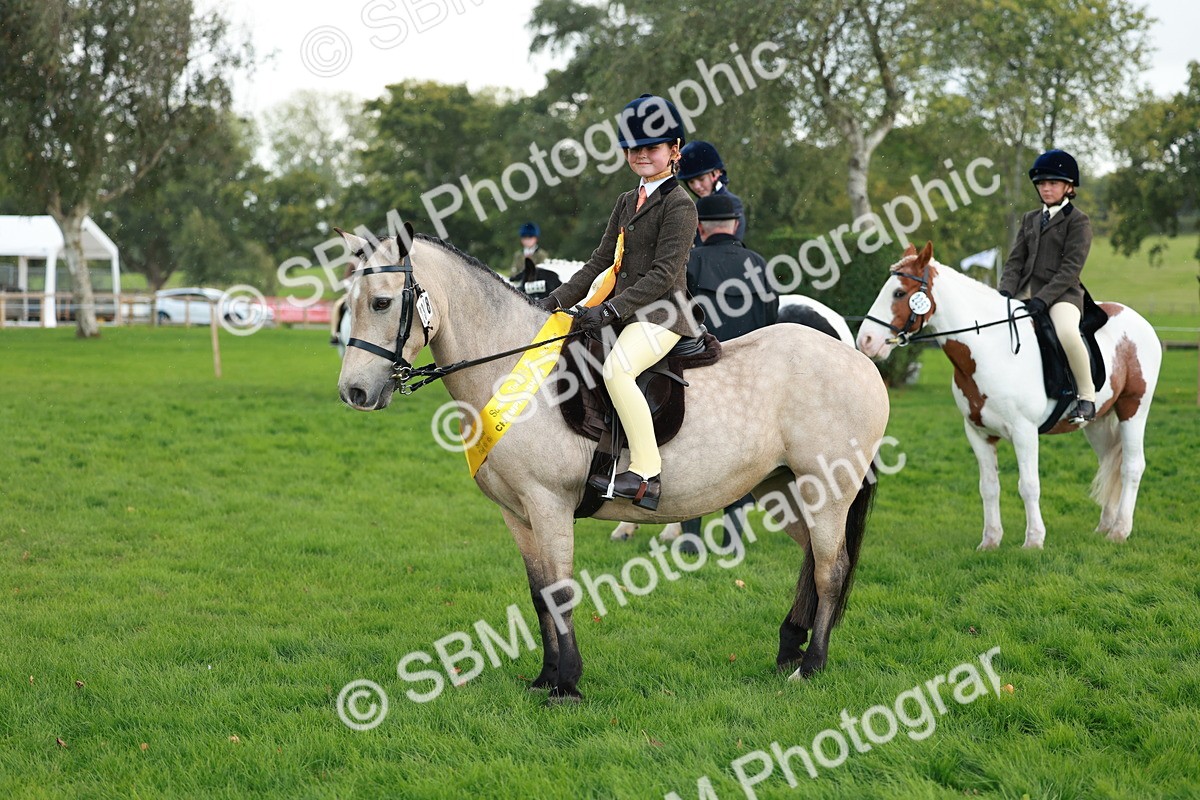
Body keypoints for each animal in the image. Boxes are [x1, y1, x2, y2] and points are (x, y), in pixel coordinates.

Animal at [336, 229, 891, 699]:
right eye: (349, 304)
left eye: (381, 302)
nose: (354, 392)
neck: (512, 372)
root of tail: (857, 359)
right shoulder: (517, 514)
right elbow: (539, 594)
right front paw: (544, 677)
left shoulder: (549, 505)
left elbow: (560, 591)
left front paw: (567, 685)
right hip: (785, 491)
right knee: (812, 562)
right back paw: (788, 649)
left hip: (827, 489)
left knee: (831, 570)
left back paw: (811, 666)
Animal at [856, 242, 1161, 550]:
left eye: (899, 292)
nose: (865, 341)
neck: (989, 348)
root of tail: (1139, 321)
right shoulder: (978, 434)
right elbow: (989, 487)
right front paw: (990, 541)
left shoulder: (1024, 432)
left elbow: (1028, 486)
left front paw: (1034, 541)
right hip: (1097, 422)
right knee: (1108, 463)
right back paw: (1105, 527)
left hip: (1134, 410)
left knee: (1131, 467)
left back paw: (1119, 531)